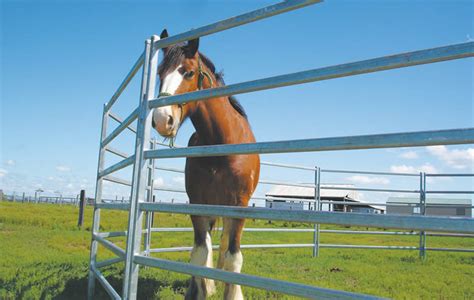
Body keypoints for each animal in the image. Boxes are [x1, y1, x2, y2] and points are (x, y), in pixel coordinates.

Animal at [152, 28, 262, 300]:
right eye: (160, 74)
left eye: (188, 72)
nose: (161, 119)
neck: (221, 144)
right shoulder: (198, 203)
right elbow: (200, 255)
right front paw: (202, 288)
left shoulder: (239, 206)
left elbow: (233, 257)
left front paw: (232, 291)